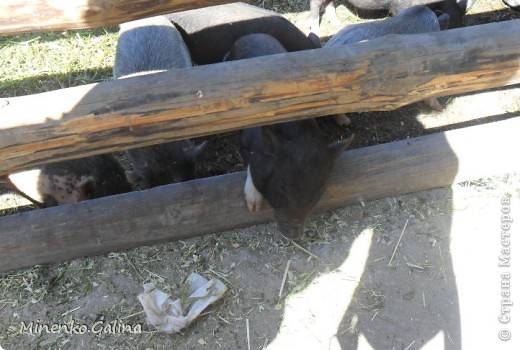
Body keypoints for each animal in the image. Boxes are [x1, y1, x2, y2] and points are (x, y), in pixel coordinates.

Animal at [225, 34, 356, 239]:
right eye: (281, 187)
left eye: (319, 190)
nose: (293, 234)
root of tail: (251, 34)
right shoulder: (245, 141)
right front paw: (253, 207)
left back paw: (345, 121)